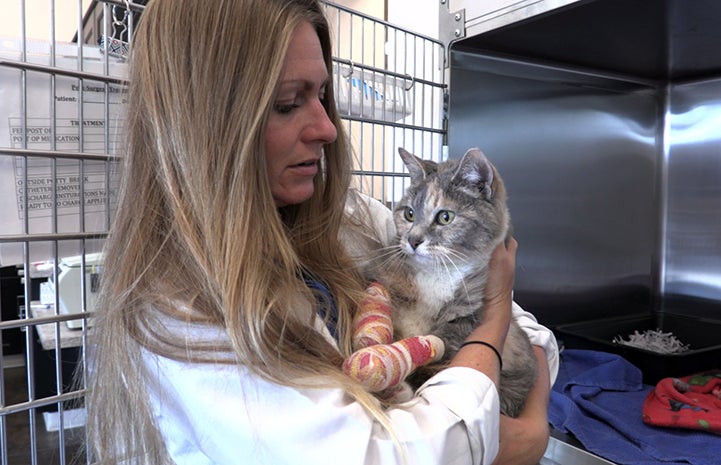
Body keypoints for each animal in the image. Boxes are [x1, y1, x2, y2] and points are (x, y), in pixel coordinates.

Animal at [372, 146, 536, 416]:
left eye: (445, 217)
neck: (437, 274)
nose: (413, 240)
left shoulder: (465, 315)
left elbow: (440, 357)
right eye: (409, 213)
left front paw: (402, 385)